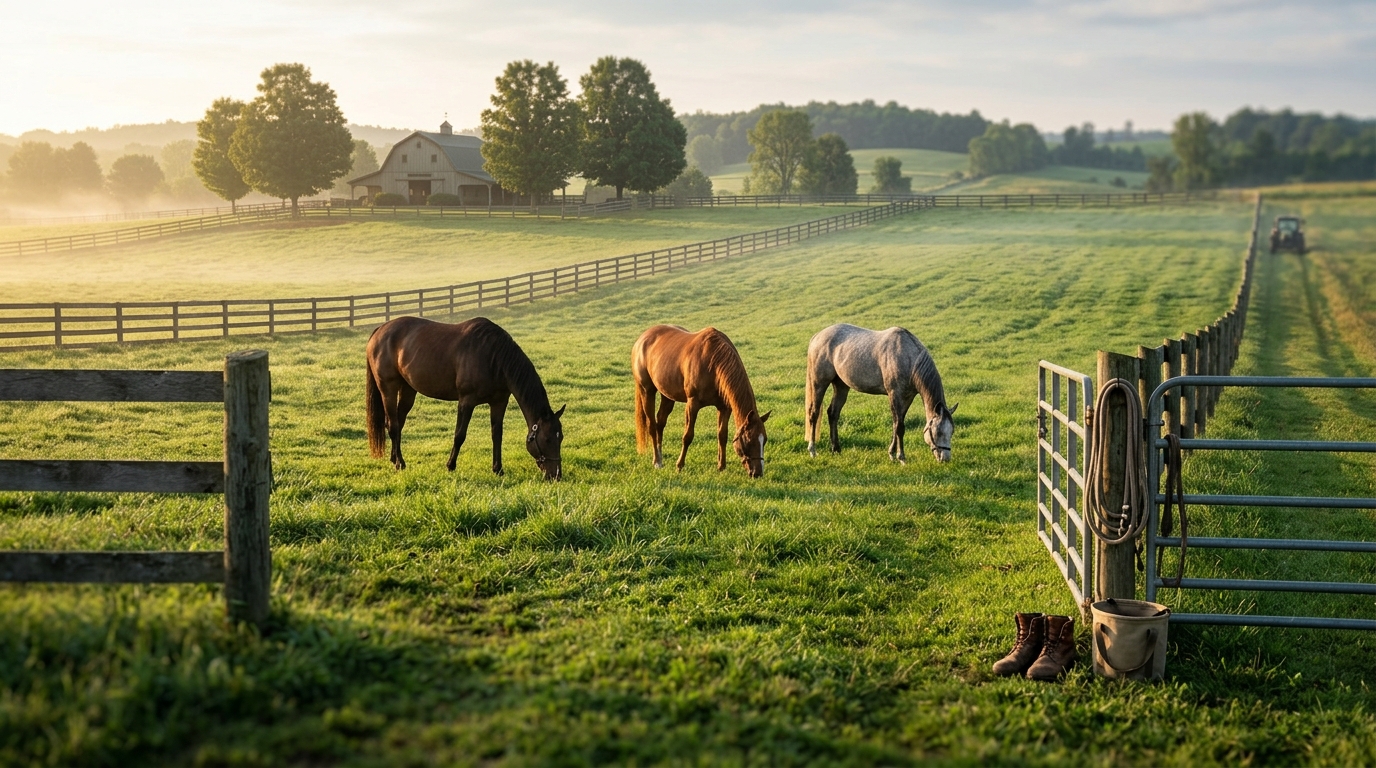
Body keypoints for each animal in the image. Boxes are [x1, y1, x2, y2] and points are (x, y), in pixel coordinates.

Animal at [366, 316, 565, 479]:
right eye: (547, 439)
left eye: (560, 437)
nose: (556, 475)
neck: (493, 357)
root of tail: (379, 330)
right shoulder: (466, 402)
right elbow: (459, 435)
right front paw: (450, 466)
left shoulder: (499, 402)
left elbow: (497, 435)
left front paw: (498, 469)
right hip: (388, 388)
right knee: (393, 425)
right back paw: (400, 463)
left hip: (408, 389)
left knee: (397, 423)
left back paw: (394, 458)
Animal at [632, 325, 771, 478]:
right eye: (749, 440)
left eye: (764, 440)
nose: (758, 473)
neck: (713, 362)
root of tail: (642, 338)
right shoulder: (692, 404)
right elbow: (688, 436)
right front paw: (679, 465)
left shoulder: (724, 407)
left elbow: (722, 435)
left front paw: (721, 466)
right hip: (647, 390)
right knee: (651, 425)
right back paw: (657, 461)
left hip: (667, 395)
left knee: (660, 422)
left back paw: (661, 458)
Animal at [805, 323, 956, 463]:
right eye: (938, 432)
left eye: (952, 431)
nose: (945, 458)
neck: (908, 358)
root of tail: (817, 336)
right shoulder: (895, 394)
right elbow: (900, 427)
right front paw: (901, 458)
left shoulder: (907, 397)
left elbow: (896, 424)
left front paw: (892, 454)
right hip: (819, 383)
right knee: (814, 413)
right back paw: (812, 450)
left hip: (841, 386)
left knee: (833, 413)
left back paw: (836, 449)